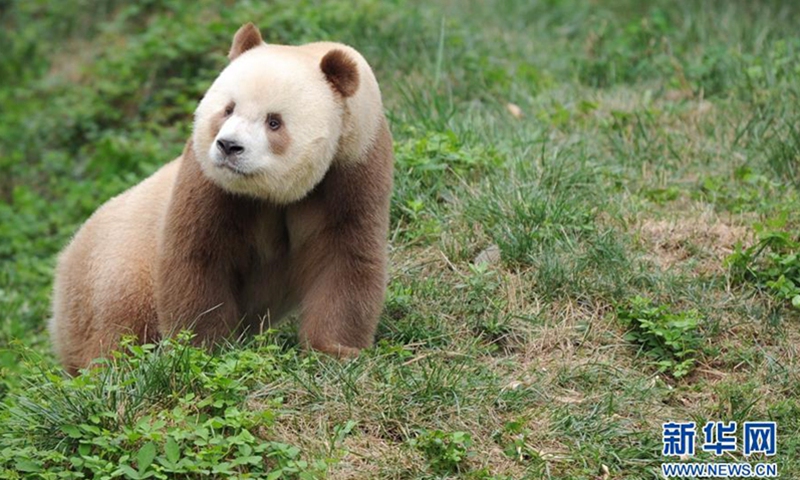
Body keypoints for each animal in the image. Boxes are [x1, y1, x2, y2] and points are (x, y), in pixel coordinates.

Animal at [48, 22, 392, 376]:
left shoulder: (352, 168)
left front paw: (336, 350)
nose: (229, 146)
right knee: (120, 324)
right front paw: (204, 352)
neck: (272, 193)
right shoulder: (208, 181)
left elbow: (344, 257)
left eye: (274, 121)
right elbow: (199, 259)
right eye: (228, 109)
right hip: (116, 267)